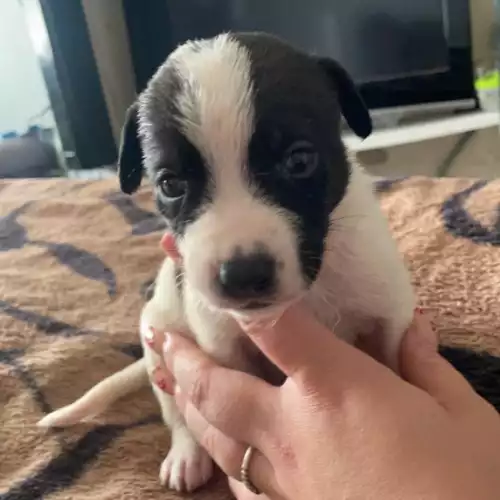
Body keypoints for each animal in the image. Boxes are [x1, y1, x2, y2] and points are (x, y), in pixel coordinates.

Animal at [38, 32, 414, 492]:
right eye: (170, 184)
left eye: (300, 160)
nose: (243, 275)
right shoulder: (223, 344)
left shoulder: (389, 315)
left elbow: (396, 366)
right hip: (158, 337)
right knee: (176, 412)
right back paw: (187, 455)